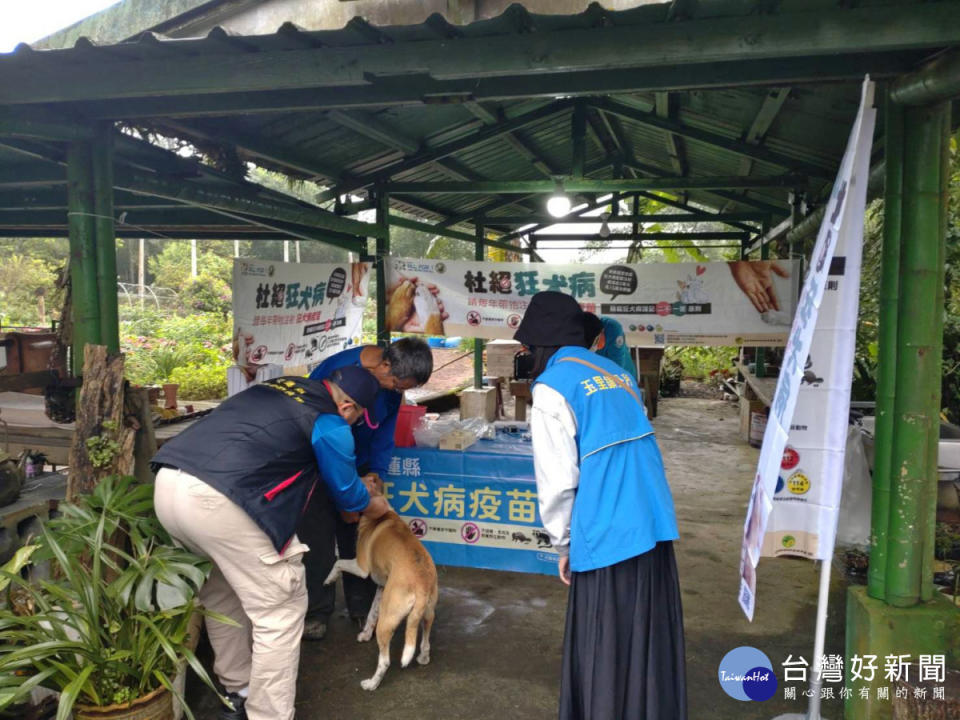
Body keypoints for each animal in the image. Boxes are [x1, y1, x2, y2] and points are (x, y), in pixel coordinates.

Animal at [326, 476, 438, 688]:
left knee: (385, 661)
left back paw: (371, 684)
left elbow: (338, 562)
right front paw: (364, 634)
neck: (382, 513)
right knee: (426, 641)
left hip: (387, 621)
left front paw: (328, 579)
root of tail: (421, 586)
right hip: (426, 613)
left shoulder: (361, 568)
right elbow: (371, 613)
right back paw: (423, 658)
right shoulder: (381, 587)